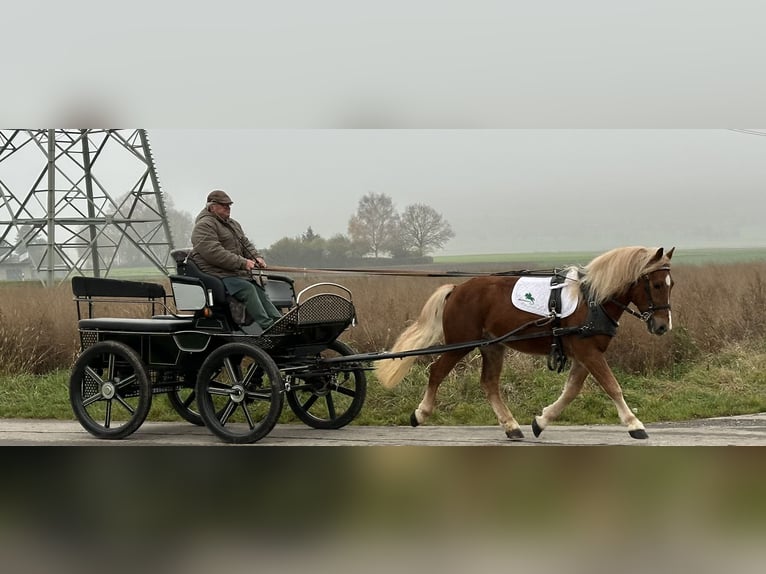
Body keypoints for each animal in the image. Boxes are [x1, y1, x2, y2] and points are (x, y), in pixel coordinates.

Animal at [378, 246, 680, 440]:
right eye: (655, 285)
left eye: (671, 284)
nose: (662, 326)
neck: (592, 299)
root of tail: (457, 289)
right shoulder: (588, 352)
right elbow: (612, 387)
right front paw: (634, 424)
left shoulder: (585, 353)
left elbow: (571, 391)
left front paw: (541, 421)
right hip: (461, 342)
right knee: (437, 372)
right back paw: (420, 413)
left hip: (492, 345)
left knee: (489, 384)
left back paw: (511, 426)